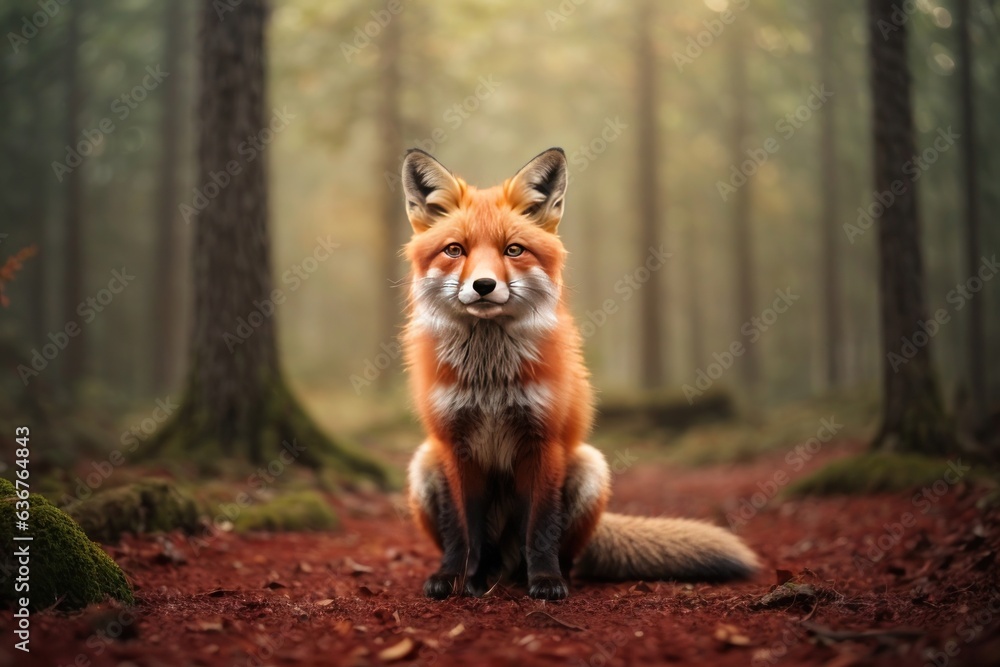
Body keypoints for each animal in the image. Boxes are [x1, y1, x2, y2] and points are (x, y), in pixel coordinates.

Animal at [401, 148, 759, 600]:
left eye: (513, 250)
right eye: (454, 249)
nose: (483, 285)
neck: (490, 383)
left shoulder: (545, 442)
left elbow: (540, 528)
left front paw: (545, 582)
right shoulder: (452, 445)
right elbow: (461, 530)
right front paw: (454, 577)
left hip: (591, 467)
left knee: (557, 552)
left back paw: (538, 576)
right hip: (423, 464)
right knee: (483, 547)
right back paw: (483, 577)